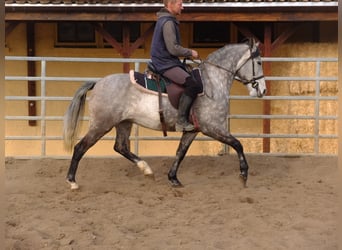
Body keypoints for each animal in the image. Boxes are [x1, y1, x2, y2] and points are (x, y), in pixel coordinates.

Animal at [64, 39, 268, 189]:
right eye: (258, 62)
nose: (263, 90)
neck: (212, 82)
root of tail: (98, 83)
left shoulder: (192, 130)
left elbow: (180, 152)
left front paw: (173, 178)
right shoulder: (212, 128)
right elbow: (238, 144)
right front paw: (243, 174)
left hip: (124, 122)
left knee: (120, 147)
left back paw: (146, 169)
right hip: (102, 124)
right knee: (81, 147)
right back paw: (72, 181)